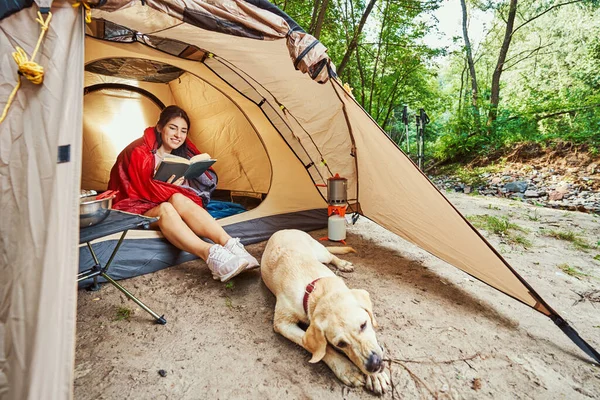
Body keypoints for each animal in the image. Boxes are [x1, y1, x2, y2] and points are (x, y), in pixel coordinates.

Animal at [260, 228, 392, 394]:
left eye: (364, 325)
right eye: (341, 344)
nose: (374, 364)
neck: (316, 292)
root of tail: (284, 229)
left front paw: (376, 377)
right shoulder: (283, 324)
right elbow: (324, 349)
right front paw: (347, 369)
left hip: (320, 252)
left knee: (331, 256)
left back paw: (343, 264)